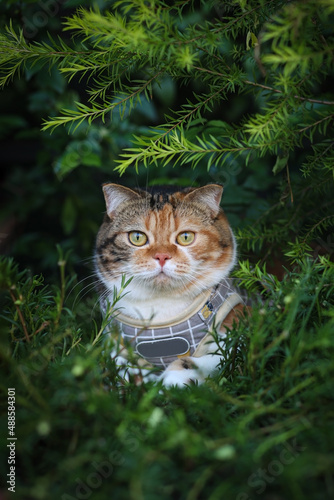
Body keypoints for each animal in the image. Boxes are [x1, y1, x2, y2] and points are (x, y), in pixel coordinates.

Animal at [94, 184, 248, 386]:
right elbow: (113, 358)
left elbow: (202, 360)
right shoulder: (115, 338)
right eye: (137, 237)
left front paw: (167, 384)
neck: (160, 305)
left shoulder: (237, 331)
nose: (161, 256)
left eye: (186, 237)